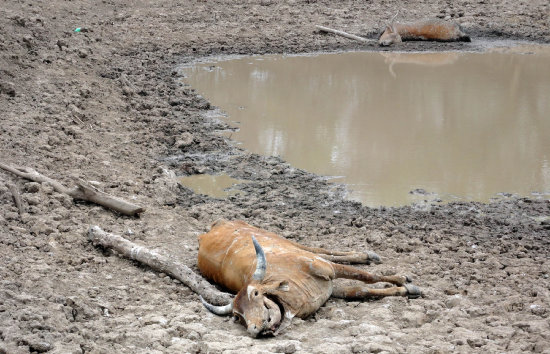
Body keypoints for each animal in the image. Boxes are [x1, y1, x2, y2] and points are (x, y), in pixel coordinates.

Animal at [198, 218, 422, 338]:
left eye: (255, 293)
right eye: (237, 316)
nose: (254, 329)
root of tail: (213, 227)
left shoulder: (327, 269)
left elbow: (367, 276)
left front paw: (407, 283)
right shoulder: (332, 289)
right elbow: (360, 290)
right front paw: (404, 289)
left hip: (286, 241)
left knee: (318, 250)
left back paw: (369, 255)